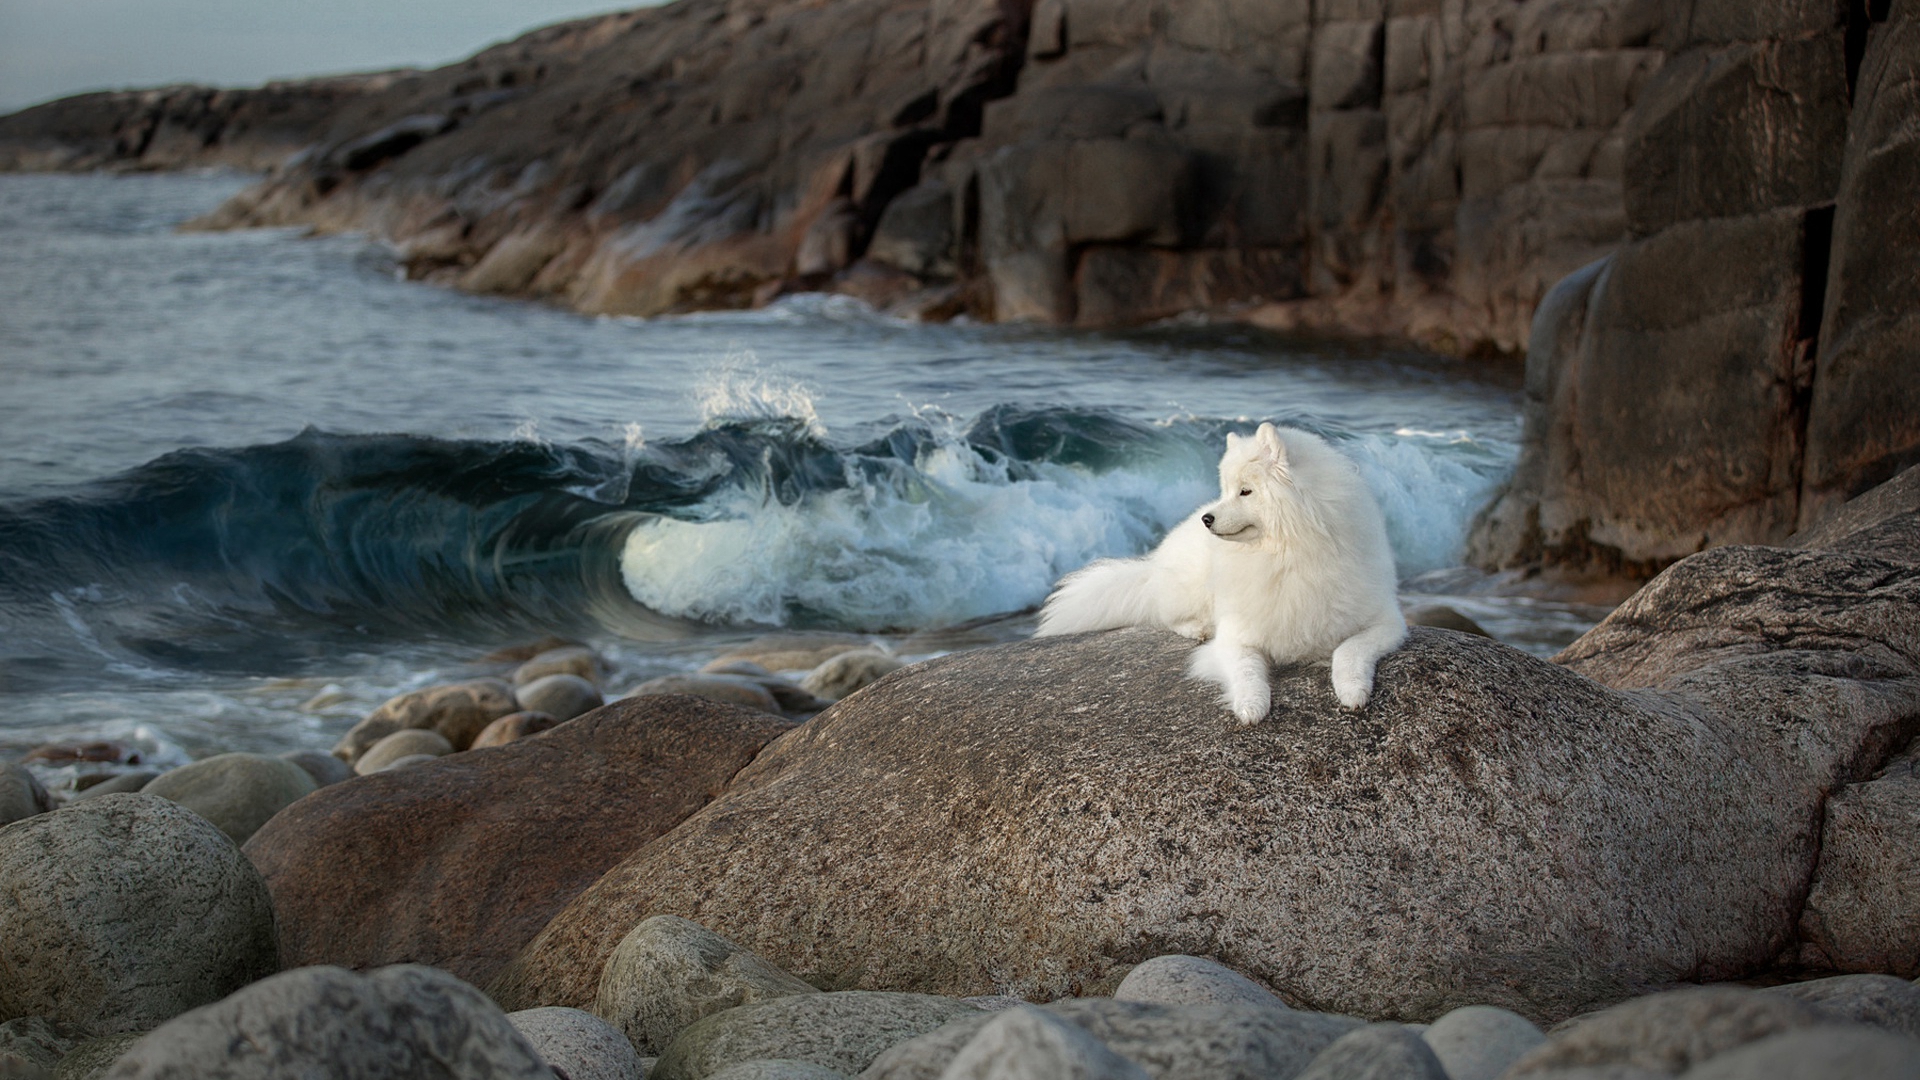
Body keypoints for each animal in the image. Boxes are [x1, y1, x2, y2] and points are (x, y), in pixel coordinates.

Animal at [1044, 420, 1405, 722]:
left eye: (1245, 491)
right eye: (1226, 490)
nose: (1208, 518)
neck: (1286, 558)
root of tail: (1153, 565)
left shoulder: (1386, 622)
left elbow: (1348, 650)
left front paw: (1352, 690)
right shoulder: (1237, 635)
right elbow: (1246, 671)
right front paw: (1251, 705)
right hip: (1190, 588)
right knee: (1166, 615)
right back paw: (1197, 628)